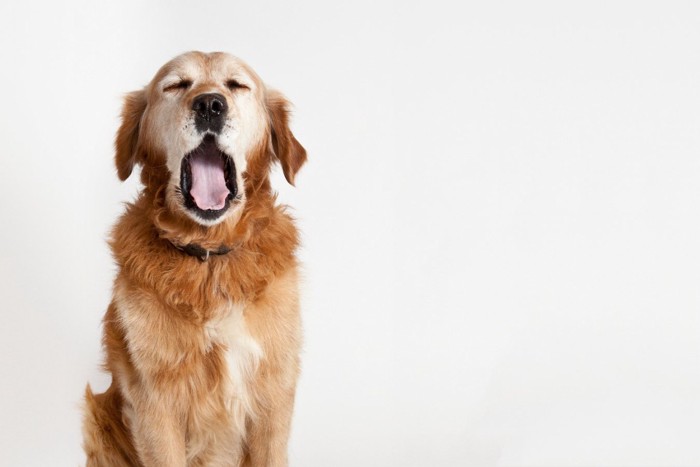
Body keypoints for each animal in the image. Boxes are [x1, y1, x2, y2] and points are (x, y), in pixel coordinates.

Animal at [81, 52, 306, 467]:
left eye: (236, 85)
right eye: (176, 85)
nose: (210, 105)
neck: (210, 256)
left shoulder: (274, 395)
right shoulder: (155, 403)